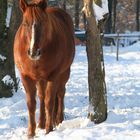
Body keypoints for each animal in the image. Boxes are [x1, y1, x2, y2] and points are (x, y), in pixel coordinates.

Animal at [13, 0, 75, 137]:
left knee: (60, 94)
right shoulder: (25, 76)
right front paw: (31, 133)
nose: (33, 52)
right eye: (25, 23)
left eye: (42, 22)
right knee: (41, 97)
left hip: (64, 73)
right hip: (40, 79)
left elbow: (49, 101)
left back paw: (58, 120)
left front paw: (49, 129)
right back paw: (41, 123)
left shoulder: (54, 76)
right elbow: (31, 103)